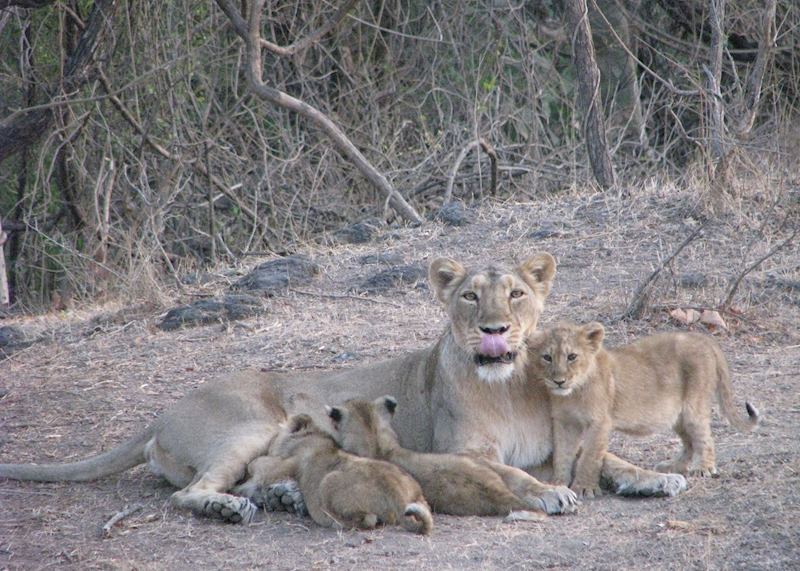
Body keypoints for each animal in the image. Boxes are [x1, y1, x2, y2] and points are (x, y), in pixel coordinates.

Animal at [236, 413, 433, 534]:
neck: (312, 434)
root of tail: (397, 496)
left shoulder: (280, 465)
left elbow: (258, 465)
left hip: (328, 481)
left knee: (368, 520)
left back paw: (333, 521)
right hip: (418, 495)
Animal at [528, 321, 760, 498]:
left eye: (572, 357)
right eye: (547, 357)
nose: (559, 381)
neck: (572, 394)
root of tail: (702, 338)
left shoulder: (600, 422)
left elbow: (590, 457)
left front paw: (584, 488)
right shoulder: (564, 422)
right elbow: (562, 455)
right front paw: (557, 483)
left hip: (694, 406)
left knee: (705, 437)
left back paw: (704, 468)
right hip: (676, 415)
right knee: (689, 441)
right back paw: (671, 467)